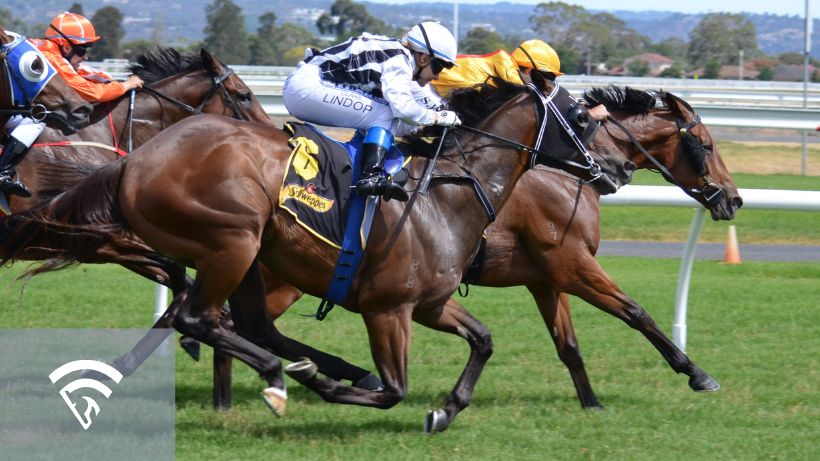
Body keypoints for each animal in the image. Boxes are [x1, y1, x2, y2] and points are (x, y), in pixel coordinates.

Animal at [0, 78, 628, 432]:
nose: (615, 168)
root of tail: (132, 160)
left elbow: (483, 340)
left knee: (240, 322)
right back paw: (284, 377)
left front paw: (445, 409)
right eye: (580, 117)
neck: (447, 193)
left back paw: (310, 366)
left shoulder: (428, 304)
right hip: (233, 240)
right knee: (198, 317)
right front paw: (339, 389)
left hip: (246, 256)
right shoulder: (388, 309)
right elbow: (395, 389)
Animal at [181, 85, 744, 406]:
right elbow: (635, 312)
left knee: (223, 321)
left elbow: (568, 345)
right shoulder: (572, 263)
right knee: (218, 319)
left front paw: (591, 404)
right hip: (277, 272)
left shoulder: (546, 277)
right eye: (707, 144)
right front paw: (697, 374)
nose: (734, 199)